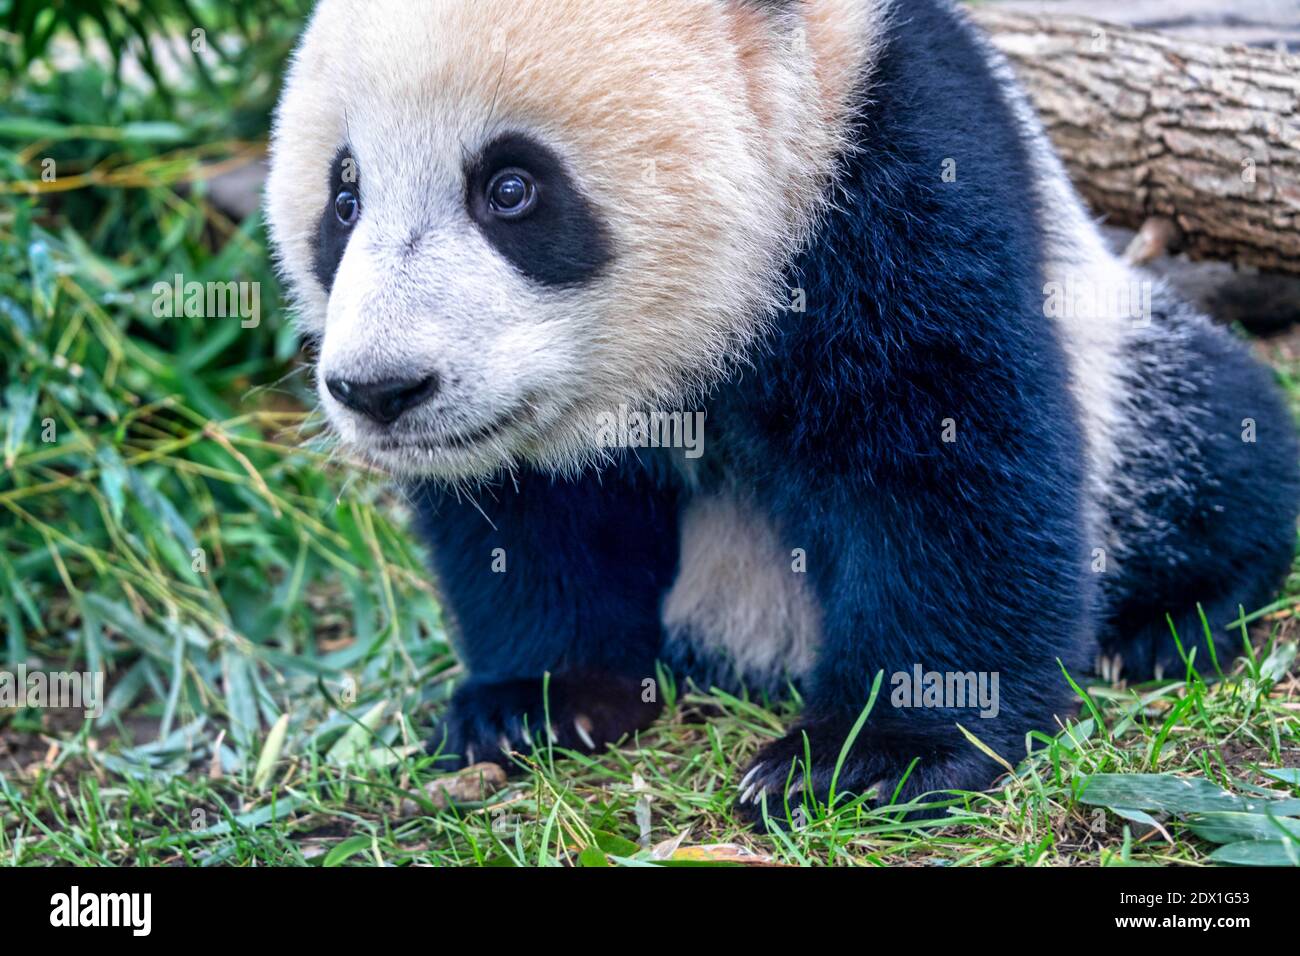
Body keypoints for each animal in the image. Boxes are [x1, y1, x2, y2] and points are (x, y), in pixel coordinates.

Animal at [267, 0, 1300, 826]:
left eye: (511, 187)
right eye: (344, 197)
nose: (382, 390)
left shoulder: (892, 163)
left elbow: (947, 457)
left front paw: (862, 758)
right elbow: (532, 513)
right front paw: (538, 703)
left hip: (1119, 364)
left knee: (1212, 437)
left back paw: (1169, 622)